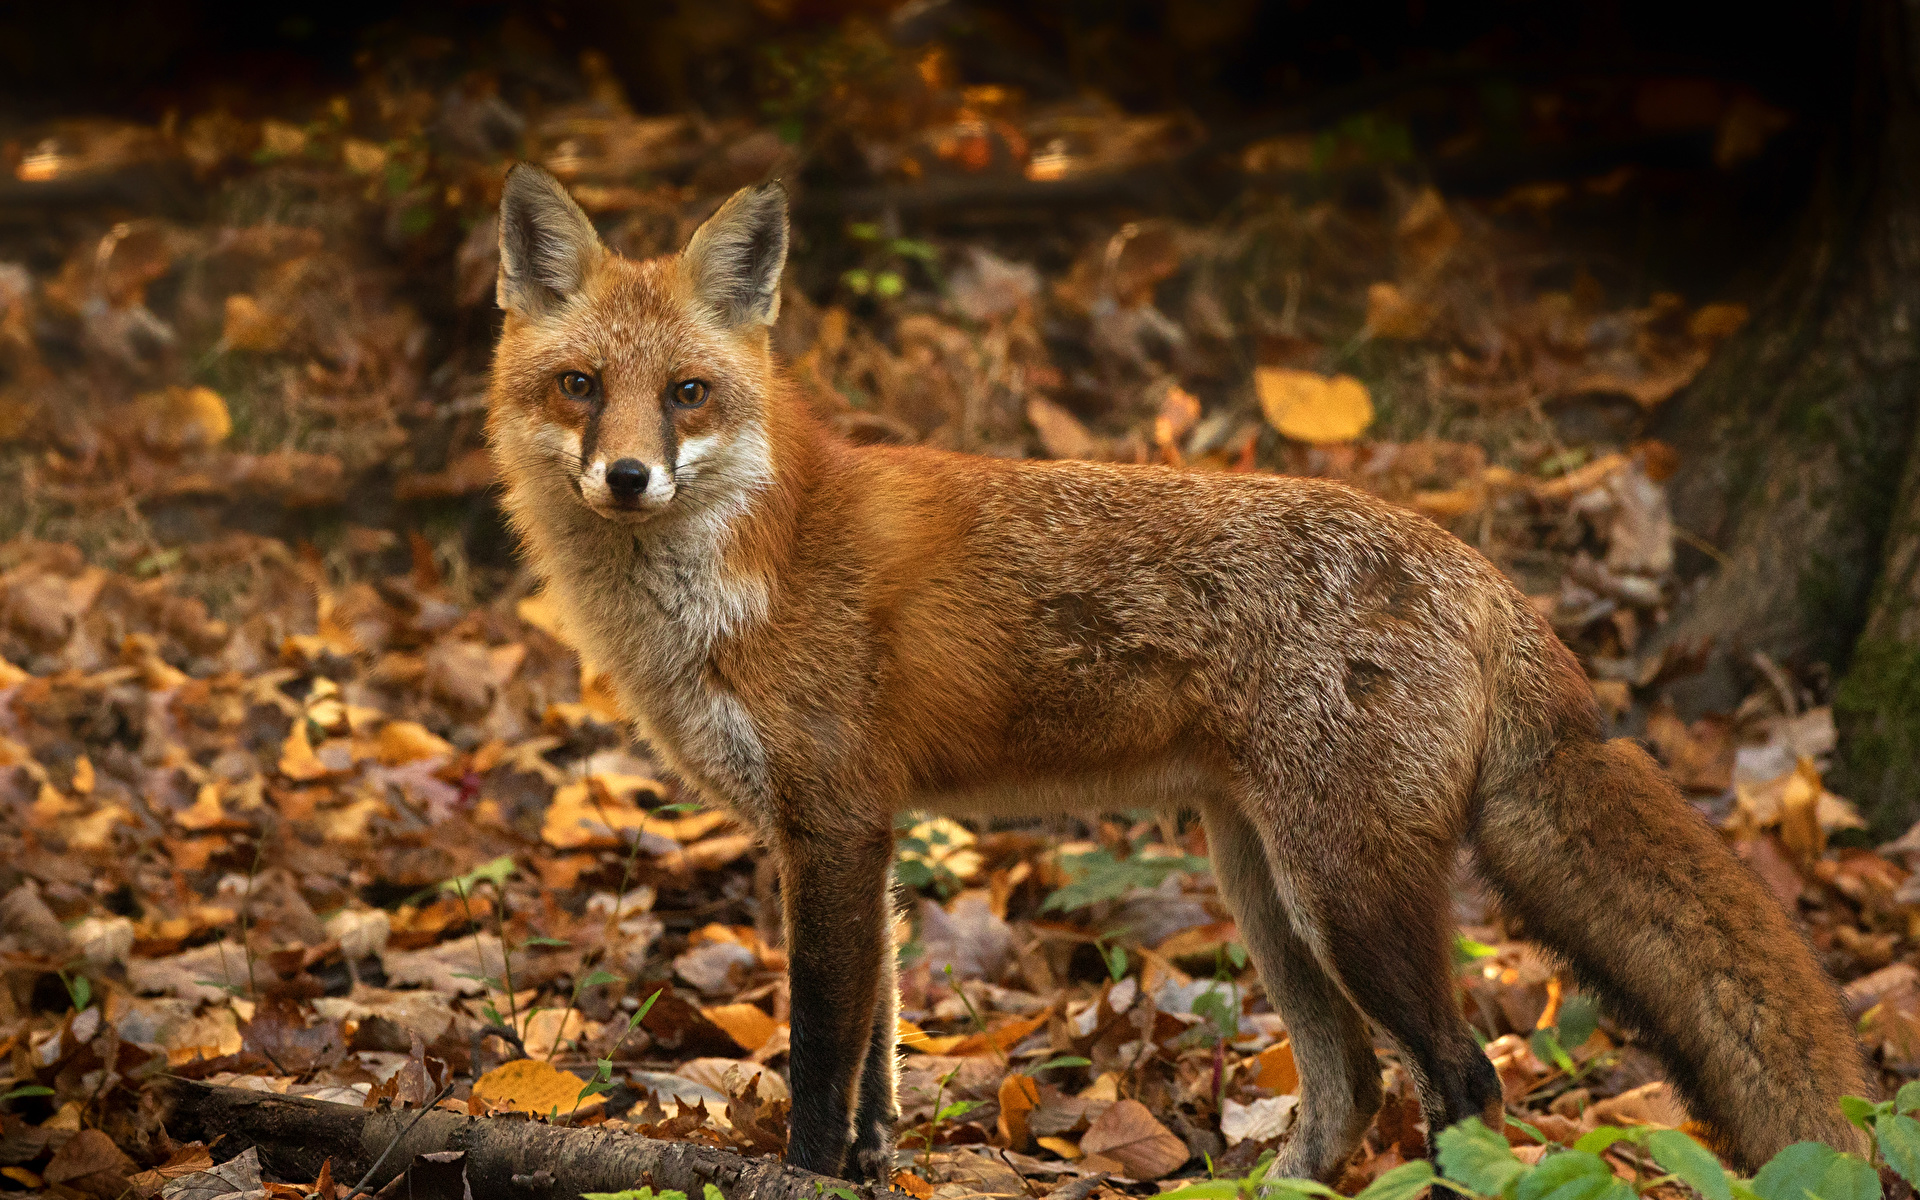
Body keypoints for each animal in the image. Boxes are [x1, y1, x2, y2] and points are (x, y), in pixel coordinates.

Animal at [483, 164, 1873, 1182]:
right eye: (580, 386)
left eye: (688, 393)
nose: (627, 478)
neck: (750, 561)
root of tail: (1482, 572)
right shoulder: (858, 836)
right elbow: (879, 1055)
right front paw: (872, 1166)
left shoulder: (829, 821)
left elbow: (824, 1052)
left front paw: (812, 1174)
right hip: (1264, 885)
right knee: (1352, 1086)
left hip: (1346, 893)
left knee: (1460, 1077)